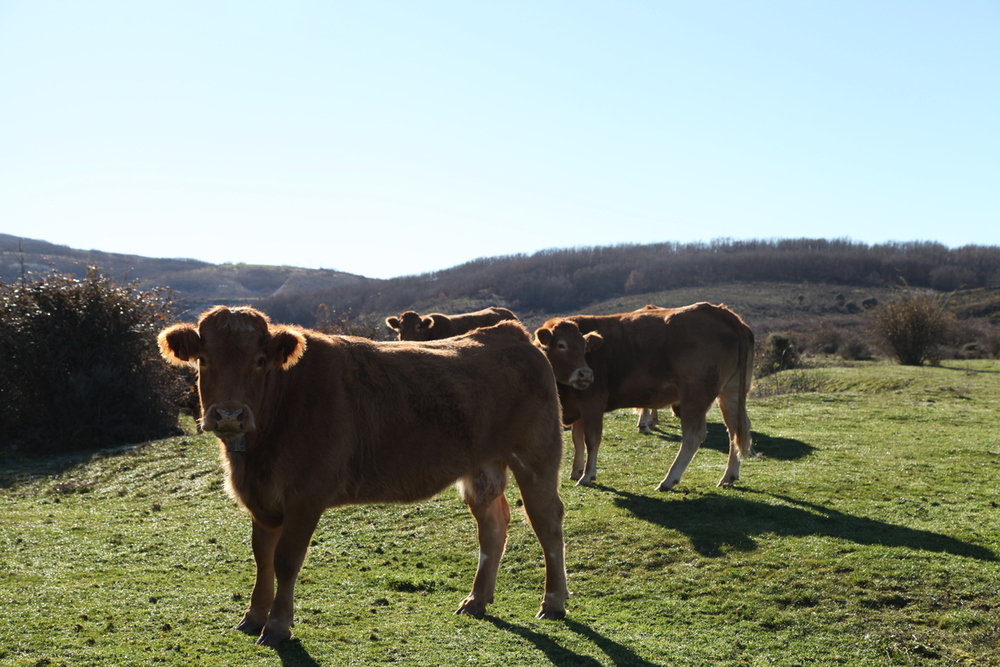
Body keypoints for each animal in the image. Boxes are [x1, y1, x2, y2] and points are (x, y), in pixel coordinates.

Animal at [536, 306, 752, 494]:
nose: (586, 375)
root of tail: (717, 311)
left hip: (695, 395)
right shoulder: (579, 406)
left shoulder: (592, 402)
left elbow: (591, 439)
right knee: (737, 430)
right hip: (731, 393)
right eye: (561, 345)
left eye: (584, 347)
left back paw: (668, 480)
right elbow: (577, 440)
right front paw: (576, 471)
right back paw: (729, 476)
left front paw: (587, 476)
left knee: (694, 436)